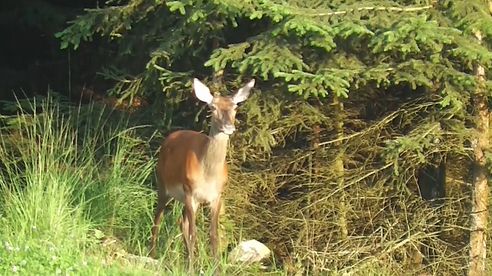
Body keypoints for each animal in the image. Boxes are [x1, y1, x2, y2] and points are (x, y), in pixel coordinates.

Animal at [151, 77, 256, 268]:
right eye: (212, 107)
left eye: (235, 107)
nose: (229, 127)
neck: (208, 175)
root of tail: (169, 137)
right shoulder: (190, 192)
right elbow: (194, 233)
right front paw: (191, 269)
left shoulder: (216, 196)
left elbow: (214, 236)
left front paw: (214, 268)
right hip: (163, 184)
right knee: (158, 218)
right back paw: (152, 254)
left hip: (188, 199)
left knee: (181, 223)